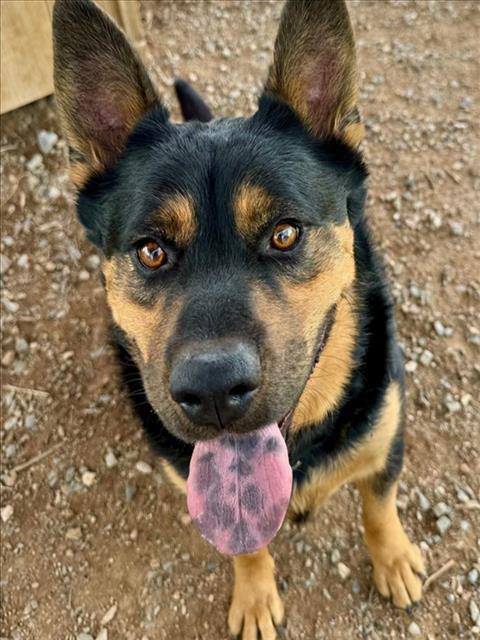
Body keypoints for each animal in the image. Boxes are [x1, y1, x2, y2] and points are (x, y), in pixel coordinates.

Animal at [52, 0, 426, 636]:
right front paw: (253, 597)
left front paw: (393, 558)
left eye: (284, 234)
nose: (212, 391)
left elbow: (379, 503)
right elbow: (245, 543)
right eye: (151, 251)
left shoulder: (386, 433)